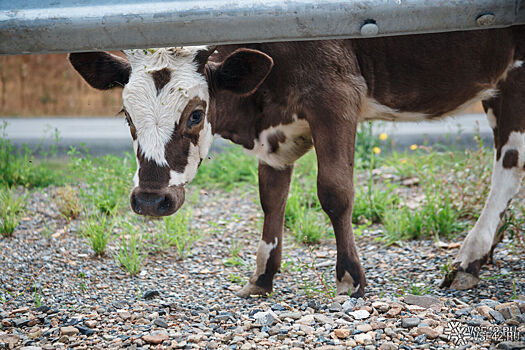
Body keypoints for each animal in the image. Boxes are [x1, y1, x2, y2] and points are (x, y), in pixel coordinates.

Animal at [70, 26, 524, 296]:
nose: (150, 200)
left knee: (510, 162)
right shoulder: (275, 136)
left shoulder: (337, 95)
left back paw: (469, 256)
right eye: (126, 114)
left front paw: (349, 277)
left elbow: (335, 192)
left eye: (196, 114)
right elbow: (272, 200)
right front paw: (262, 277)